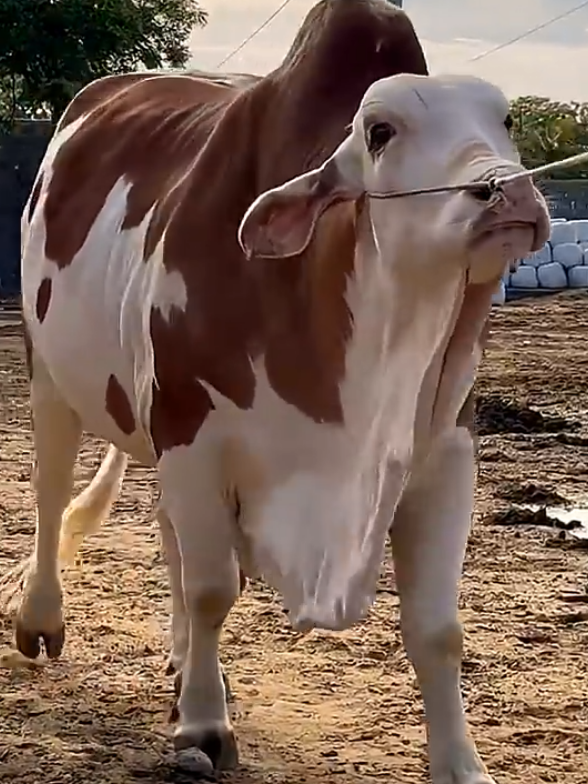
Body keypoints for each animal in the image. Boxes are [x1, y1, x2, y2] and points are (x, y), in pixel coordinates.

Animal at [2, 0, 550, 781]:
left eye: (505, 120)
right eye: (379, 131)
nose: (509, 190)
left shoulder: (444, 456)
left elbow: (438, 630)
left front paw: (461, 763)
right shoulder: (191, 433)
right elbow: (211, 589)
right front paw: (204, 727)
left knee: (168, 537)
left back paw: (183, 665)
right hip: (51, 369)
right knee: (52, 493)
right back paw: (42, 617)